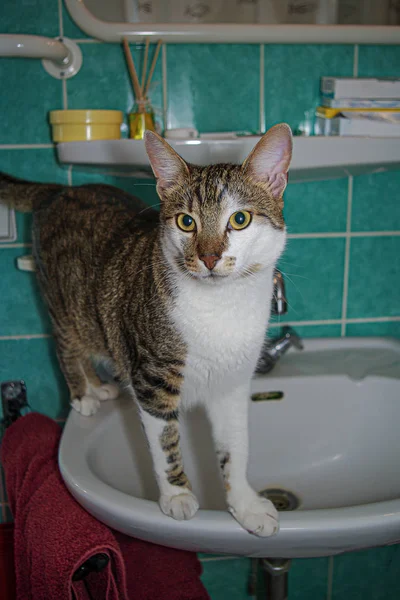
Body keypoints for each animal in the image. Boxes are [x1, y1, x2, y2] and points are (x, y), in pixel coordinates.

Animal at [0, 124, 294, 536]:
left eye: (240, 219)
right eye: (186, 222)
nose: (208, 257)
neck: (220, 306)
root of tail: (60, 190)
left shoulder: (233, 382)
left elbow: (235, 446)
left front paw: (246, 505)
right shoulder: (152, 377)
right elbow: (165, 440)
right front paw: (177, 495)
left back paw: (97, 385)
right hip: (61, 297)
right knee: (65, 342)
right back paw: (84, 394)